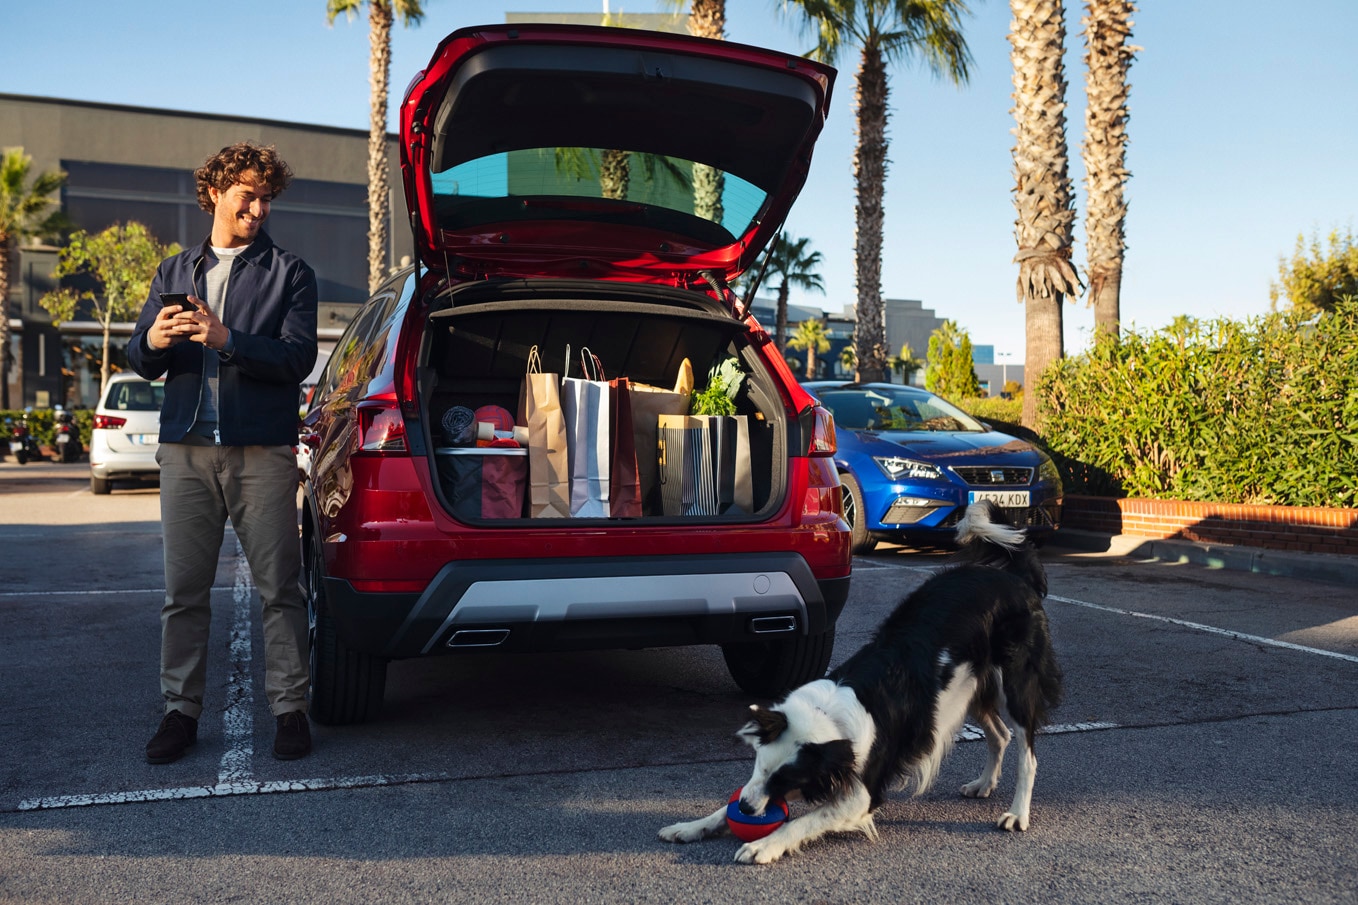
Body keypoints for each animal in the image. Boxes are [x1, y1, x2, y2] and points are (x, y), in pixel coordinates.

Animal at [657, 500, 1059, 858]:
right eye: (759, 765)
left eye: (787, 781)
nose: (747, 809)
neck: (828, 713)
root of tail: (1014, 577)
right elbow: (725, 809)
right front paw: (692, 826)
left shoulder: (861, 793)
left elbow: (799, 822)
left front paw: (763, 846)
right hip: (968, 689)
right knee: (1000, 734)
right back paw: (984, 784)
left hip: (1015, 686)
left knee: (1028, 753)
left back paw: (1018, 814)